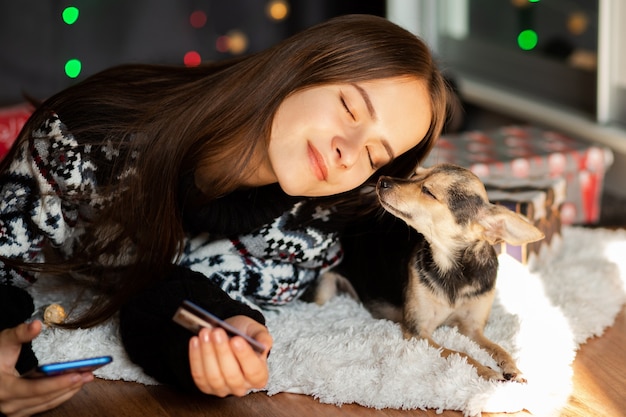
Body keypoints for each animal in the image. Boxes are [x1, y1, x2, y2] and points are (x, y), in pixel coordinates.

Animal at [314, 162, 544, 380]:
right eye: (415, 174)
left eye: (428, 191)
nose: (382, 179)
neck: (452, 268)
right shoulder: (419, 332)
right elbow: (461, 353)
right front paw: (487, 372)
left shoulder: (472, 328)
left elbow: (499, 348)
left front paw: (514, 369)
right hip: (324, 289)